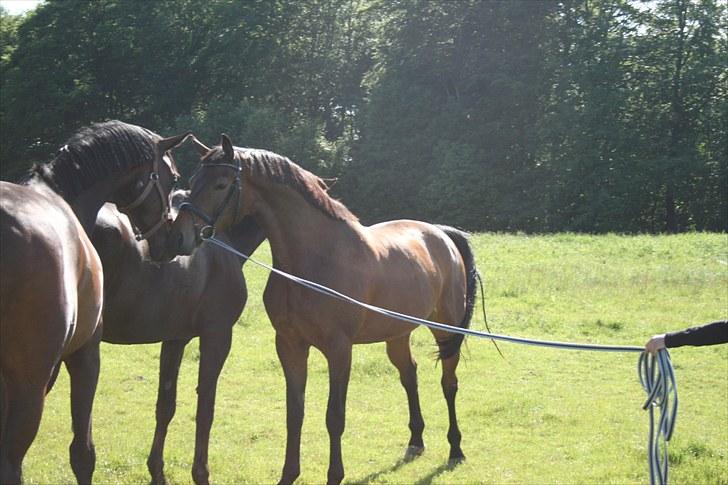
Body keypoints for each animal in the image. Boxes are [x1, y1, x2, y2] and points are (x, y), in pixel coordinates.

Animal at [88, 195, 264, 482]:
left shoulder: (174, 340)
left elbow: (165, 406)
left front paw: (156, 471)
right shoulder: (217, 338)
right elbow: (205, 410)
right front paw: (201, 473)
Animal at [165, 134, 478, 482]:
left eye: (220, 184)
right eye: (192, 180)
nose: (178, 237)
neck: (316, 259)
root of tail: (440, 233)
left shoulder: (339, 350)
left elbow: (334, 417)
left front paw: (334, 475)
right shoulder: (289, 345)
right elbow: (295, 413)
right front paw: (288, 474)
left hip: (445, 329)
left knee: (449, 384)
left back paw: (456, 449)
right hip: (397, 334)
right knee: (409, 375)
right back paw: (415, 441)